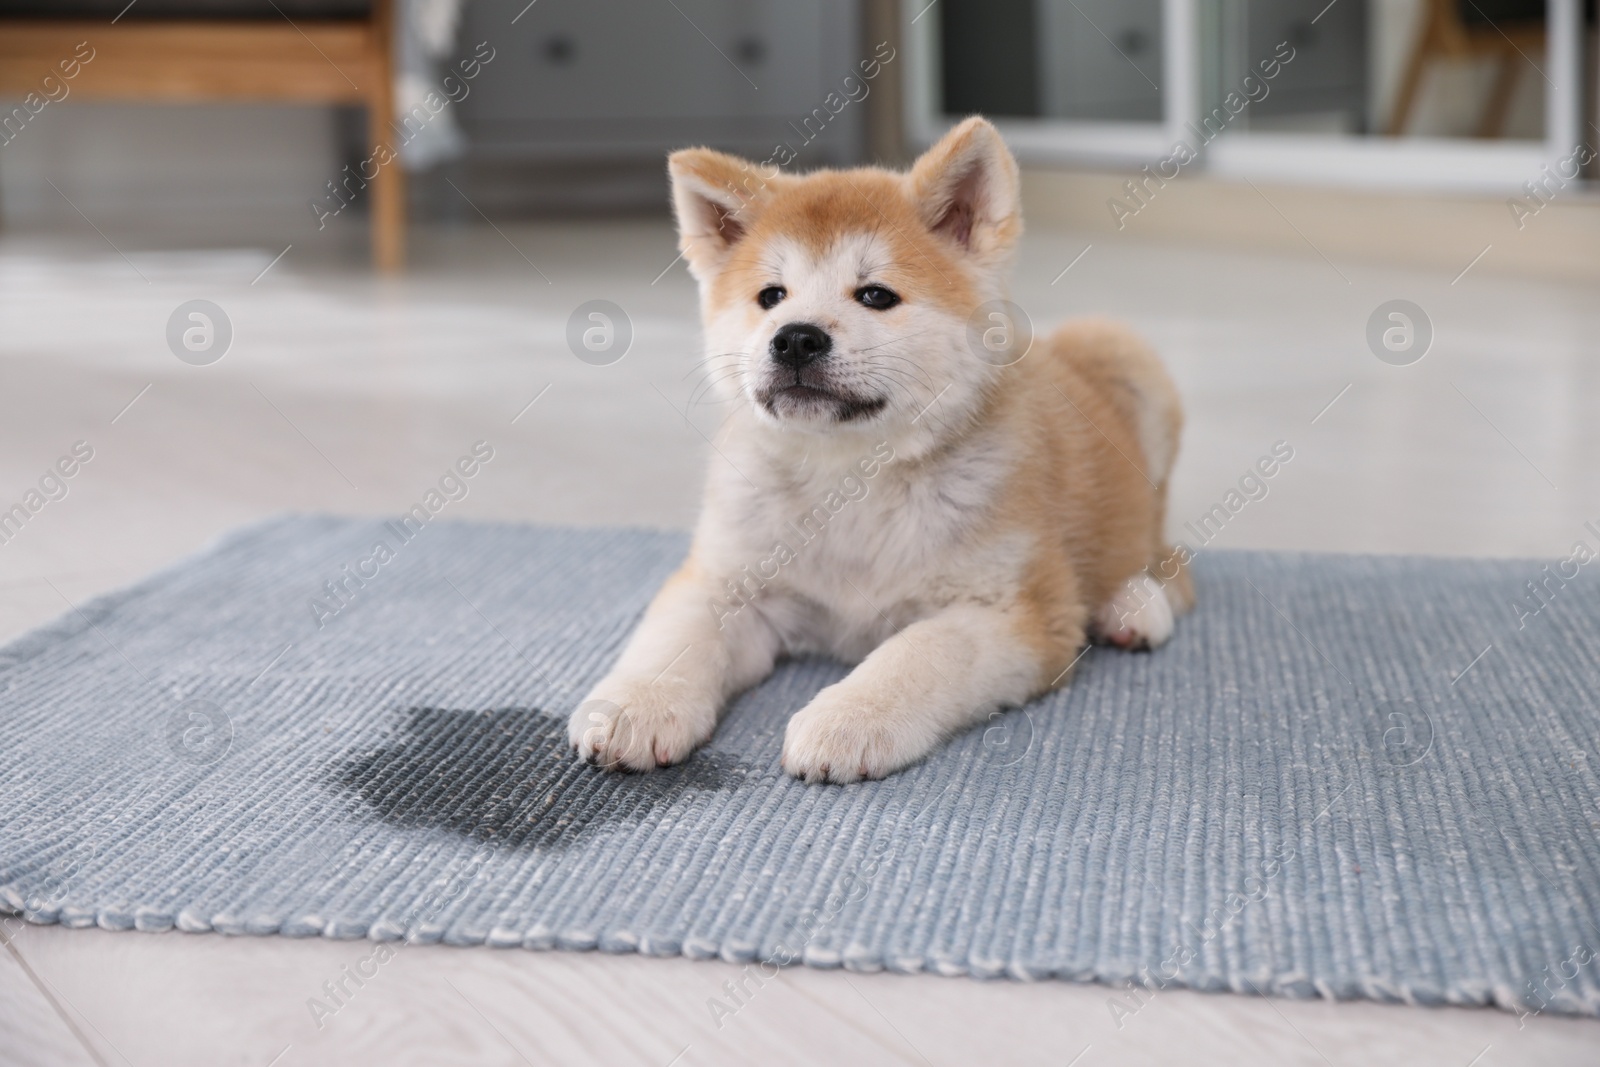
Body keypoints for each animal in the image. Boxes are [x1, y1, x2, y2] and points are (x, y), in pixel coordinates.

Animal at [572, 119, 1190, 783]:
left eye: (874, 296)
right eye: (771, 296)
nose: (795, 338)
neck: (851, 480)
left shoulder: (1015, 610)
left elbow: (918, 652)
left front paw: (850, 717)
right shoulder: (728, 578)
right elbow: (674, 637)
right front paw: (636, 702)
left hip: (1126, 356)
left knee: (1159, 547)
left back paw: (1134, 603)